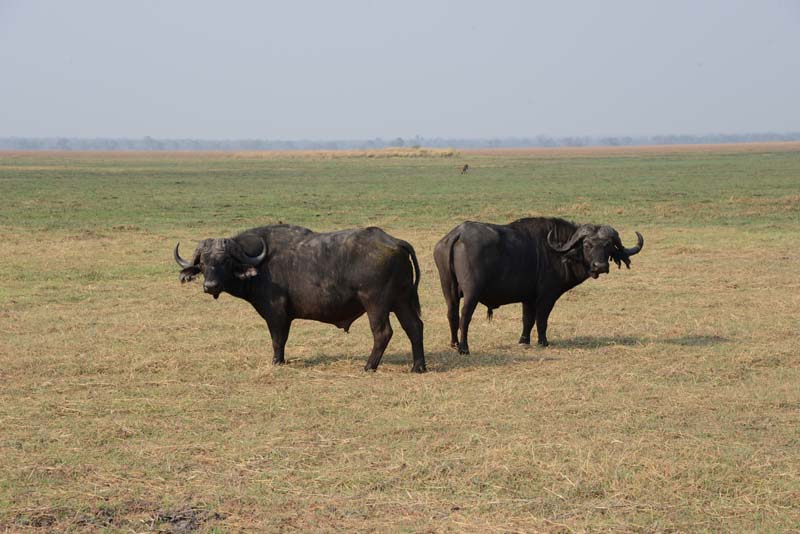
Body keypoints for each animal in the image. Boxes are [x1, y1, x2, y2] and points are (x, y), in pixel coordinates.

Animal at [173, 225, 428, 372]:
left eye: (225, 261)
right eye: (203, 263)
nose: (210, 286)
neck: (261, 264)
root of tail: (394, 242)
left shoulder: (276, 313)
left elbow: (278, 340)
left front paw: (277, 362)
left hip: (376, 304)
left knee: (383, 333)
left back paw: (368, 366)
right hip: (401, 301)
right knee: (415, 327)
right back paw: (418, 367)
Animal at [432, 216, 644, 354]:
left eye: (608, 245)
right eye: (587, 245)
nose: (600, 266)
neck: (556, 252)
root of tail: (458, 233)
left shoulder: (528, 298)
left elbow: (527, 320)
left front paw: (524, 341)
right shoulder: (547, 296)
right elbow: (542, 320)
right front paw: (543, 342)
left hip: (448, 289)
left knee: (452, 314)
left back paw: (454, 343)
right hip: (472, 293)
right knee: (465, 316)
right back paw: (464, 348)